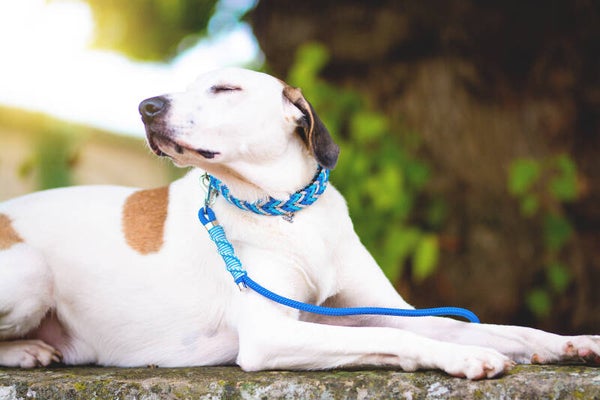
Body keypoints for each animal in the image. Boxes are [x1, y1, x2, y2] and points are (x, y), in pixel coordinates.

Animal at [0, 68, 598, 379]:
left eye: (224, 89)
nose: (146, 106)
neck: (287, 211)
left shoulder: (383, 312)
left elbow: (498, 328)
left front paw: (570, 343)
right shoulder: (270, 335)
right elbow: (404, 340)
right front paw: (465, 356)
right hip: (30, 270)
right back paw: (27, 351)